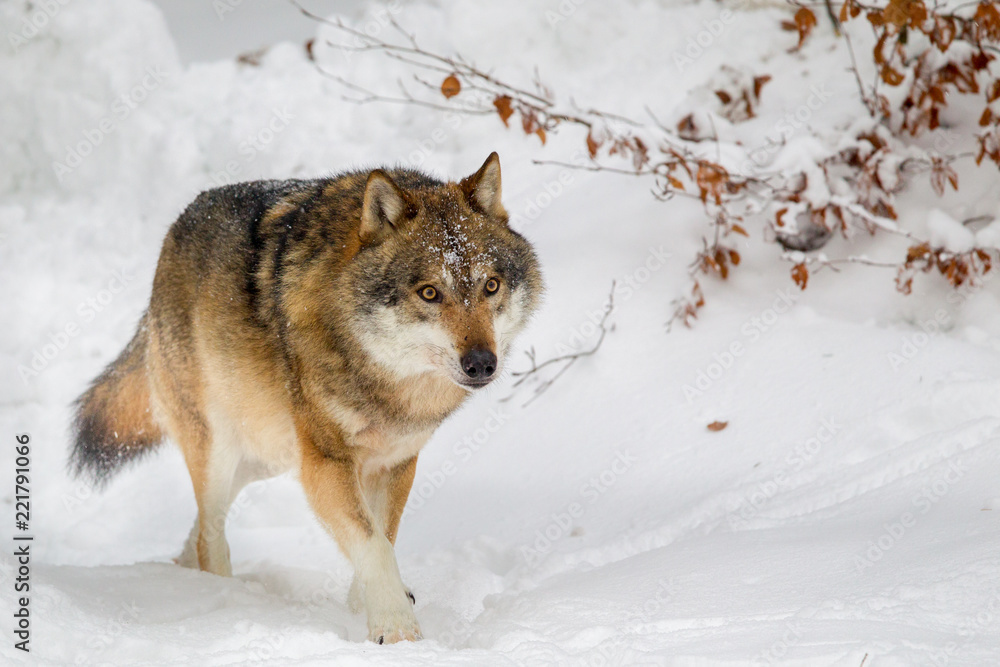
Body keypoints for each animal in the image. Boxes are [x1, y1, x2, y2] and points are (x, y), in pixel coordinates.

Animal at [70, 153, 542, 643]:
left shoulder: (395, 463)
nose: (481, 364)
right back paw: (219, 597)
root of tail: (174, 231)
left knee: (198, 527)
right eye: (430, 293)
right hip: (221, 449)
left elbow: (383, 535)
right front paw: (395, 629)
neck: (385, 380)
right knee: (209, 533)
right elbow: (373, 544)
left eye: (491, 286)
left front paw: (363, 607)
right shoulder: (327, 463)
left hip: (267, 455)